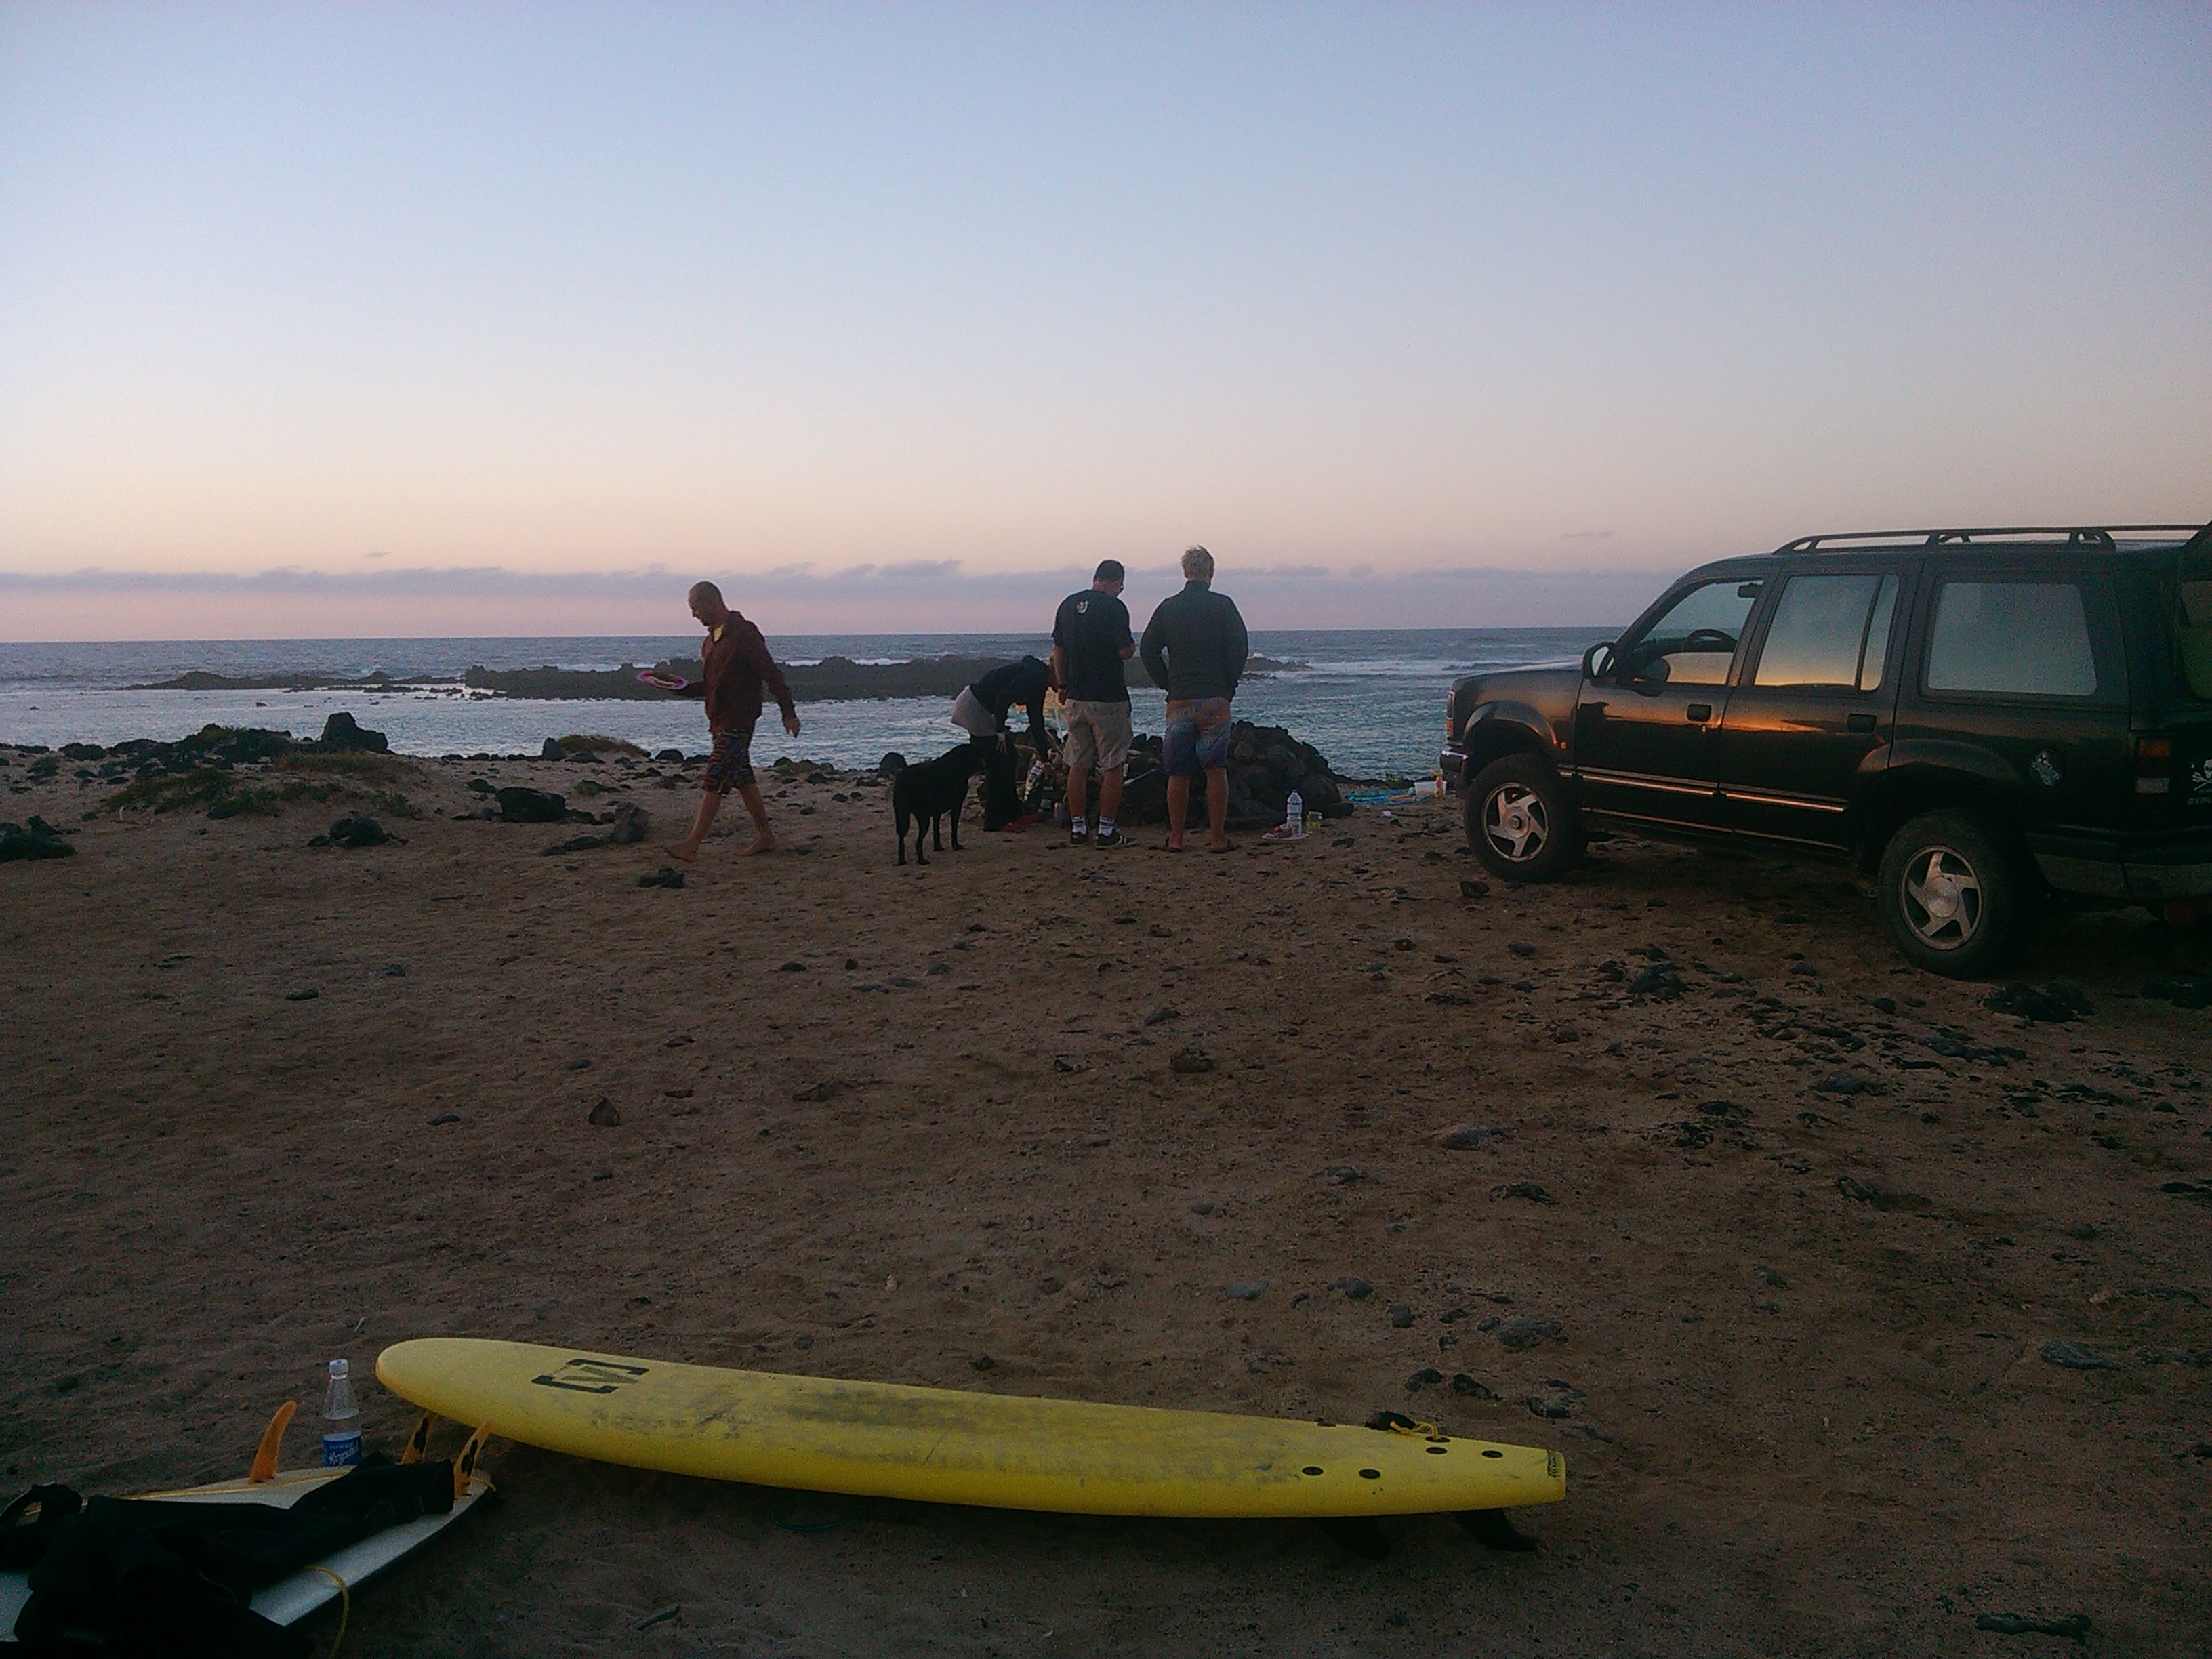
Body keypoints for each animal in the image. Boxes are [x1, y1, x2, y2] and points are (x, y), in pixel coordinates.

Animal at [893, 744, 980, 865]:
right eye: (977, 755)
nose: (984, 765)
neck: (957, 765)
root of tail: (903, 780)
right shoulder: (956, 806)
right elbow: (954, 829)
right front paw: (956, 846)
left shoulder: (936, 812)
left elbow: (936, 831)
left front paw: (938, 847)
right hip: (923, 817)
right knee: (918, 841)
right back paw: (922, 860)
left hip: (901, 813)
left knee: (901, 836)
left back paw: (902, 860)